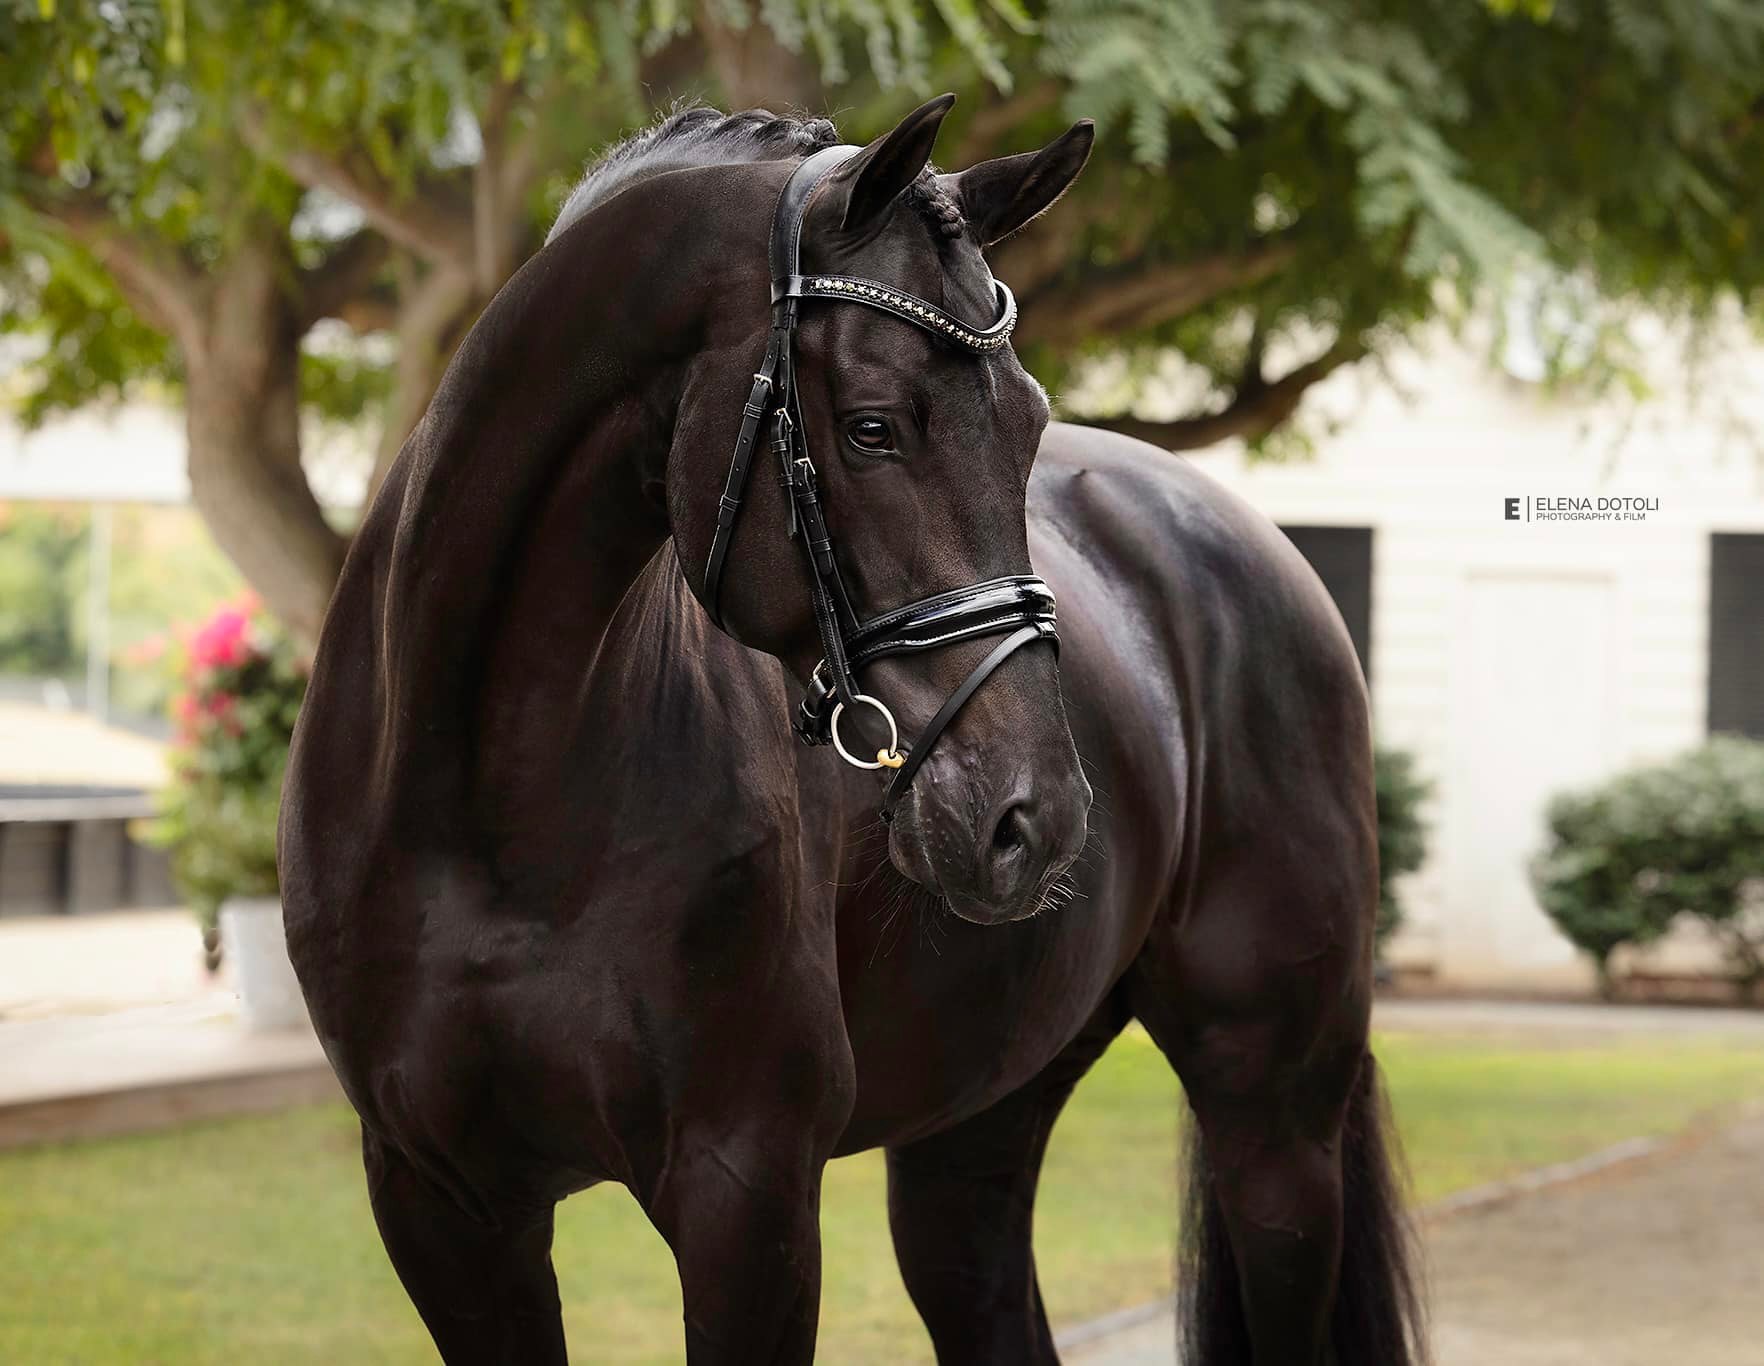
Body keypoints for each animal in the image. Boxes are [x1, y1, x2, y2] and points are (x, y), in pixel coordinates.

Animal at [280, 94, 1425, 1365]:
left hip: (1275, 1124)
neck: (494, 795)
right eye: (874, 426)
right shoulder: (444, 1207)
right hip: (974, 1132)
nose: (1033, 817)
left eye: (1029, 424)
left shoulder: (746, 1192)